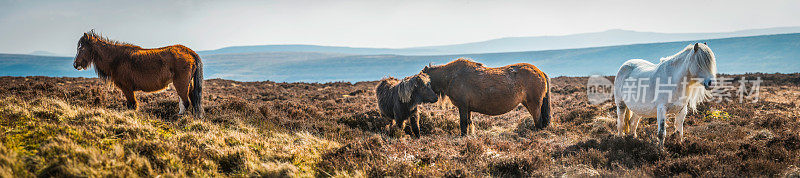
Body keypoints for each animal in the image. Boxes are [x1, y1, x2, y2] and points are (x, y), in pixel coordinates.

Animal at [72, 31, 203, 117]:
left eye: (81, 49)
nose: (75, 64)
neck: (116, 58)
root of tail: (190, 52)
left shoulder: (127, 88)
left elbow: (132, 105)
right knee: (192, 101)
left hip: (180, 83)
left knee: (185, 102)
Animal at [424, 58, 552, 135]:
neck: (452, 76)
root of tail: (540, 72)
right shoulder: (467, 108)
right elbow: (469, 122)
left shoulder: (463, 107)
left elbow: (463, 123)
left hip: (534, 104)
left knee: (538, 121)